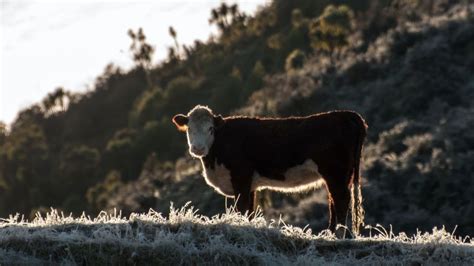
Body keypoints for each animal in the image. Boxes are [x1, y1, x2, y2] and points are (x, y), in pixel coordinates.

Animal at [172, 104, 368, 235]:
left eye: (210, 128)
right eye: (189, 129)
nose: (198, 148)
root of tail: (347, 114)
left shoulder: (240, 177)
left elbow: (241, 208)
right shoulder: (250, 185)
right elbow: (249, 211)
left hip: (336, 173)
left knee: (341, 201)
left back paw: (337, 235)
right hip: (339, 176)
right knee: (334, 201)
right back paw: (329, 234)